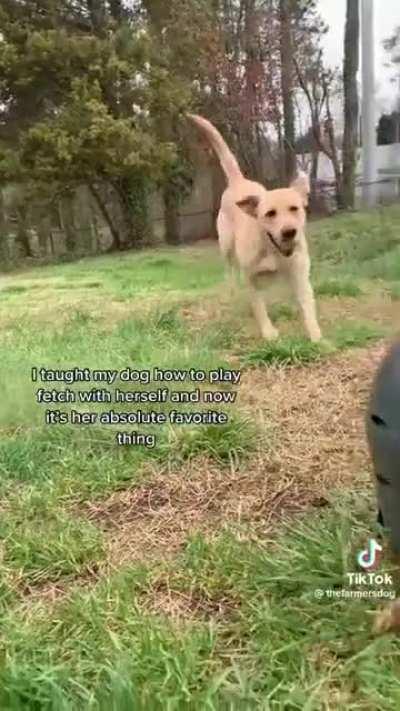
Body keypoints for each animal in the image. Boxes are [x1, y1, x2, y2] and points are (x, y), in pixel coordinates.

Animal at [188, 114, 322, 342]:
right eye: (270, 214)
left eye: (294, 208)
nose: (289, 232)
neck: (272, 250)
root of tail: (238, 181)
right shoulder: (251, 278)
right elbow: (259, 307)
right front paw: (268, 332)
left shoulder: (300, 275)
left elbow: (307, 307)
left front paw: (316, 337)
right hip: (226, 247)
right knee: (230, 272)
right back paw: (231, 292)